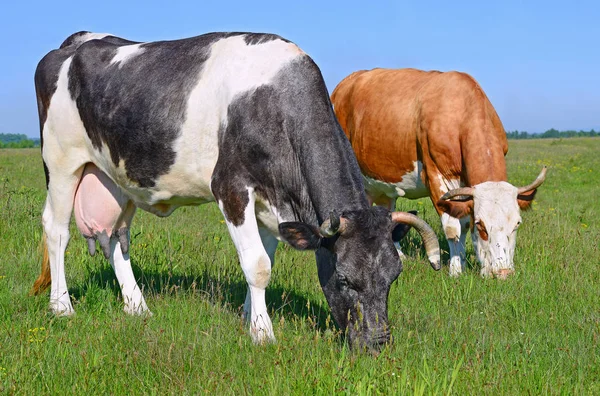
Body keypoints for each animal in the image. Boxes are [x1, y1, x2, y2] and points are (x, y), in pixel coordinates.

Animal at [30, 31, 440, 350]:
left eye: (393, 277)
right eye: (343, 278)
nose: (377, 343)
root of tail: (77, 42)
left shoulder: (272, 203)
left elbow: (265, 259)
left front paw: (249, 317)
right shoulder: (231, 188)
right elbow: (257, 265)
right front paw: (263, 333)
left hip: (117, 178)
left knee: (117, 235)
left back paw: (137, 307)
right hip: (61, 161)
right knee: (57, 229)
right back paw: (62, 307)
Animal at [330, 68, 548, 278]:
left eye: (517, 223)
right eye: (481, 225)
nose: (503, 273)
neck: (461, 112)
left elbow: (464, 225)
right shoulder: (437, 177)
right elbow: (453, 228)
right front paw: (455, 271)